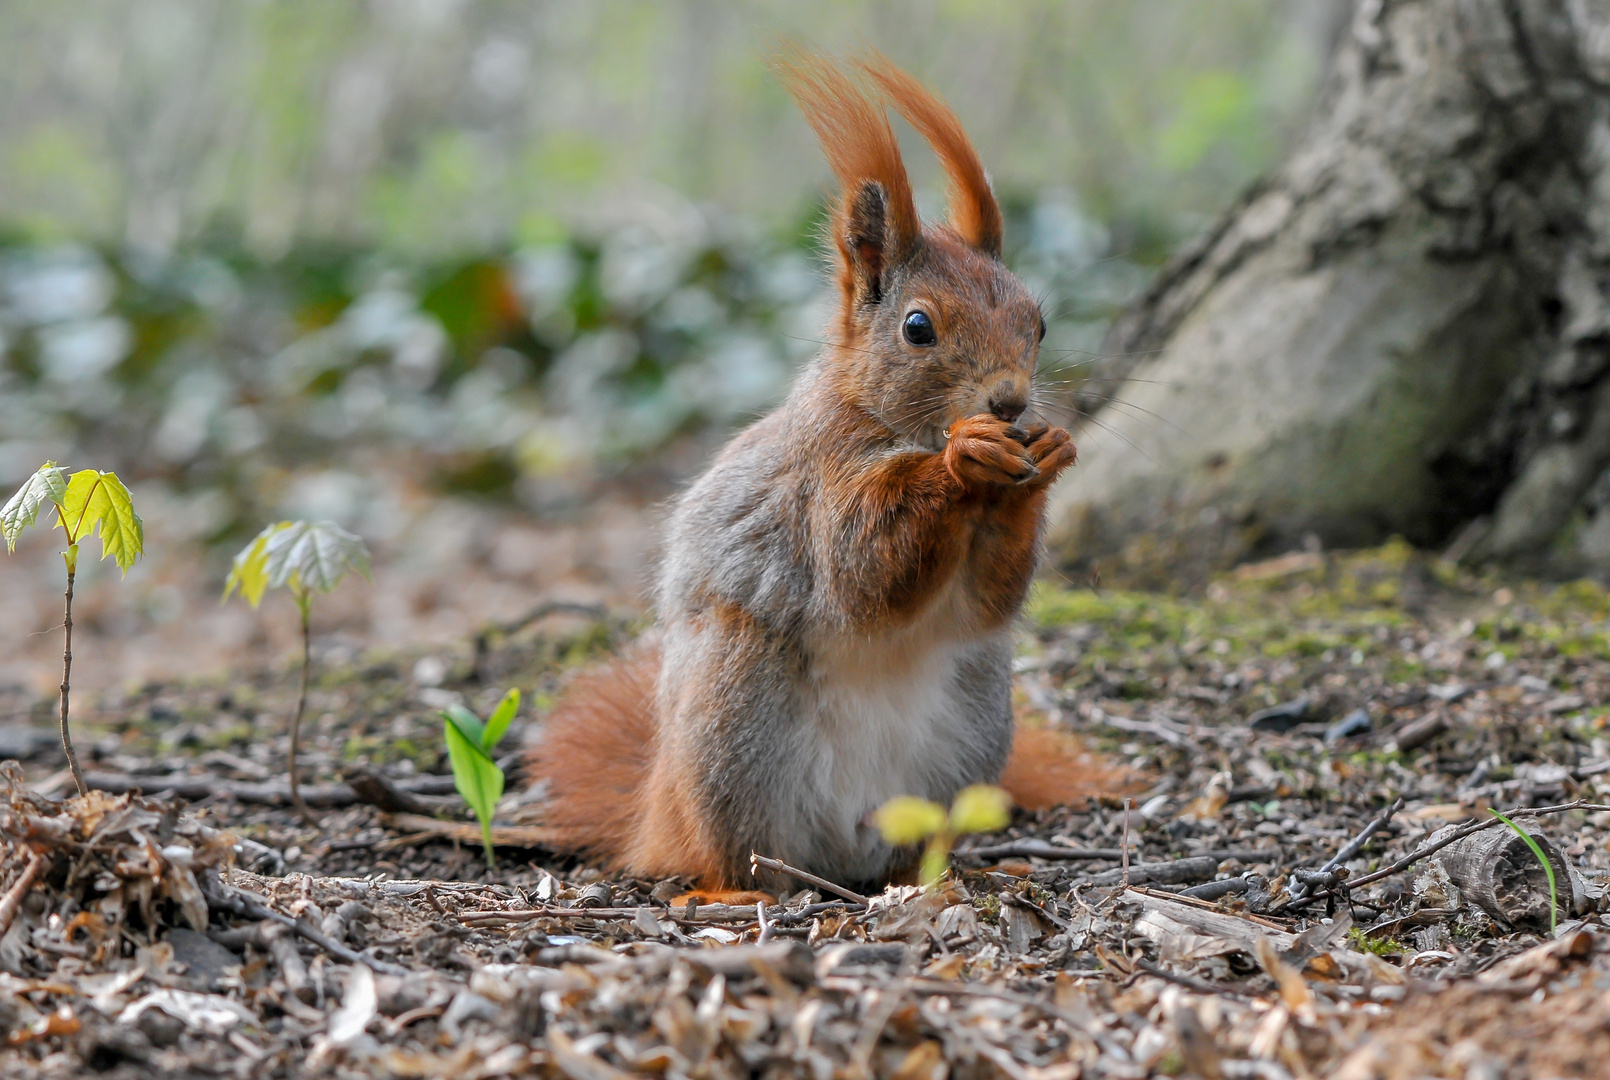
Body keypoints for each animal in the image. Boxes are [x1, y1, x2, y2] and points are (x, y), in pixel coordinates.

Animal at [528, 48, 1120, 894]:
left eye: (1038, 322)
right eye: (917, 327)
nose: (1009, 402)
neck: (890, 423)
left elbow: (988, 599)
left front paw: (1047, 457)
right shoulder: (818, 482)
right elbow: (862, 569)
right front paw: (964, 457)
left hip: (971, 728)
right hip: (736, 716)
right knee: (735, 857)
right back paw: (727, 887)